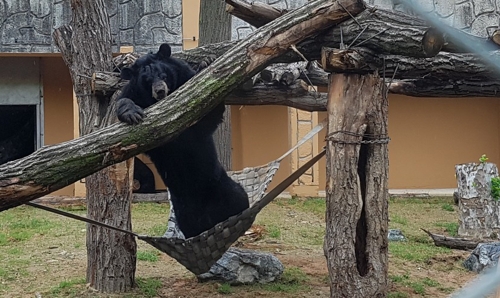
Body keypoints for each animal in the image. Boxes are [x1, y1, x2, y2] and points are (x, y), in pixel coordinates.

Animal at [117, 43, 250, 239]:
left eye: (163, 75)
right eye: (147, 81)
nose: (160, 91)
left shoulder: (186, 83)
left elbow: (209, 113)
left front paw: (206, 63)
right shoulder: (134, 93)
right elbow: (123, 102)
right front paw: (132, 113)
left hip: (223, 186)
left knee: (239, 198)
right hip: (184, 211)